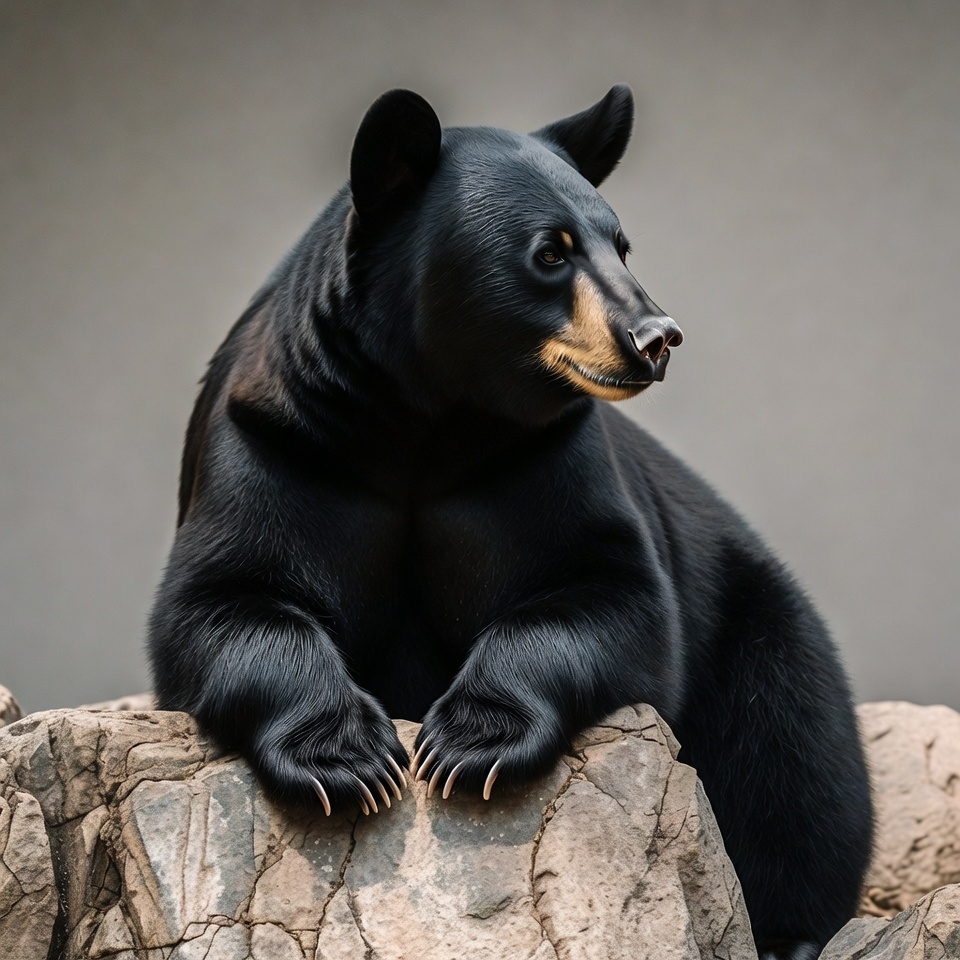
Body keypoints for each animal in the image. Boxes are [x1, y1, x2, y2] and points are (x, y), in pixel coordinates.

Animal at [148, 86, 872, 960]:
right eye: (551, 253)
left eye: (621, 245)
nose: (656, 336)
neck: (424, 421)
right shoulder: (277, 445)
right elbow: (221, 602)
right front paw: (347, 759)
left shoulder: (547, 461)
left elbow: (612, 594)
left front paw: (472, 741)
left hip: (758, 619)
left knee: (790, 755)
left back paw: (789, 932)